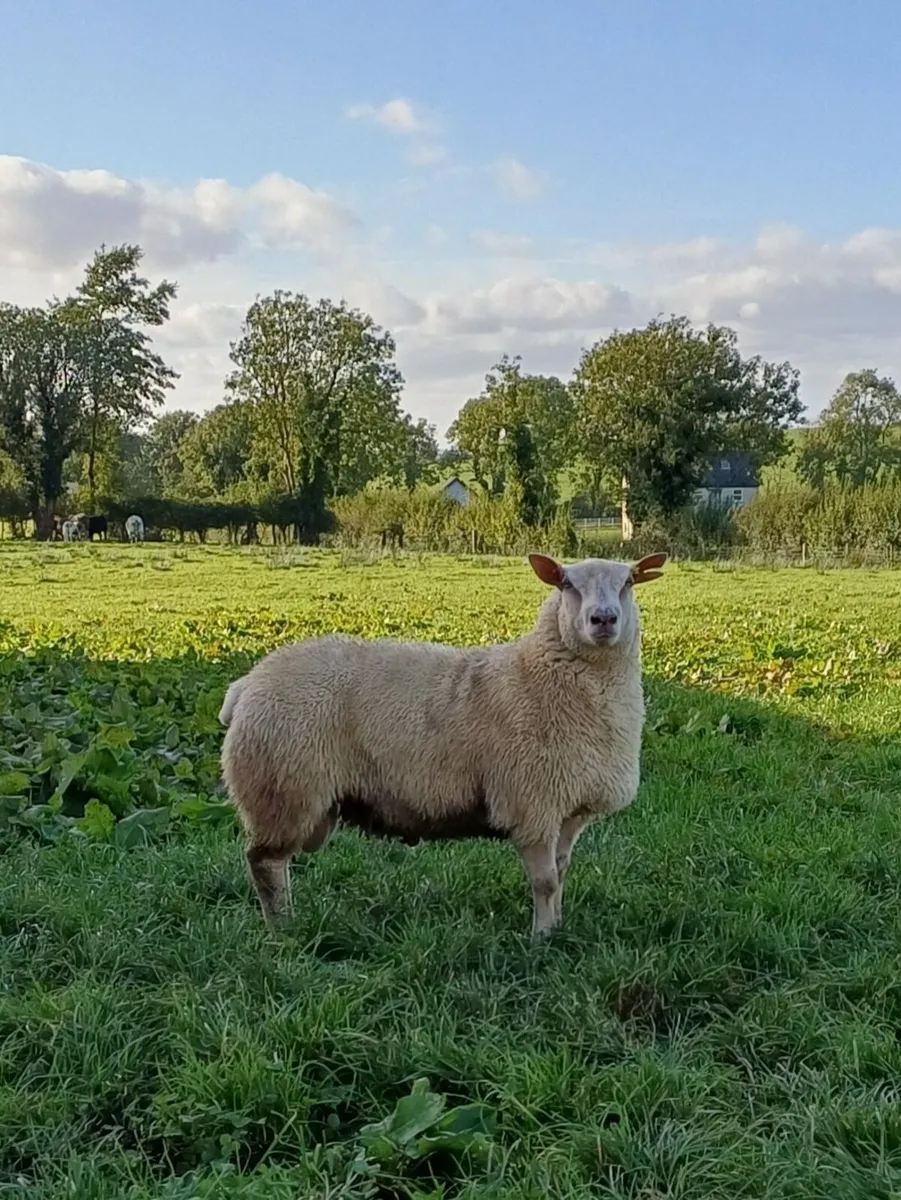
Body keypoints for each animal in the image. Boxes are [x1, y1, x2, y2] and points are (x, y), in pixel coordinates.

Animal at [219, 551, 667, 937]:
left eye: (629, 582)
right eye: (567, 584)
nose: (603, 619)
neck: (536, 674)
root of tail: (248, 684)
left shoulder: (568, 809)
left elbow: (560, 874)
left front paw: (556, 929)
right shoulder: (531, 804)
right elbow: (544, 881)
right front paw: (540, 939)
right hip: (282, 788)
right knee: (265, 863)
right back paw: (283, 929)